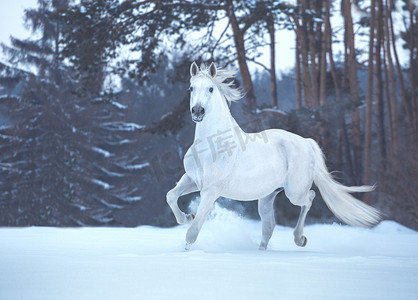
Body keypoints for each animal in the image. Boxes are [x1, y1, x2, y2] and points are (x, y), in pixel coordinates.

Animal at [165, 62, 380, 250]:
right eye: (191, 88)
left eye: (210, 89)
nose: (198, 111)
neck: (213, 145)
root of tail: (306, 143)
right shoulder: (192, 180)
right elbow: (171, 196)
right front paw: (187, 217)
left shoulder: (211, 191)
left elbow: (192, 232)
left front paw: (188, 246)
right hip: (267, 197)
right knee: (269, 226)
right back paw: (263, 251)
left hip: (294, 192)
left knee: (309, 198)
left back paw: (300, 239)